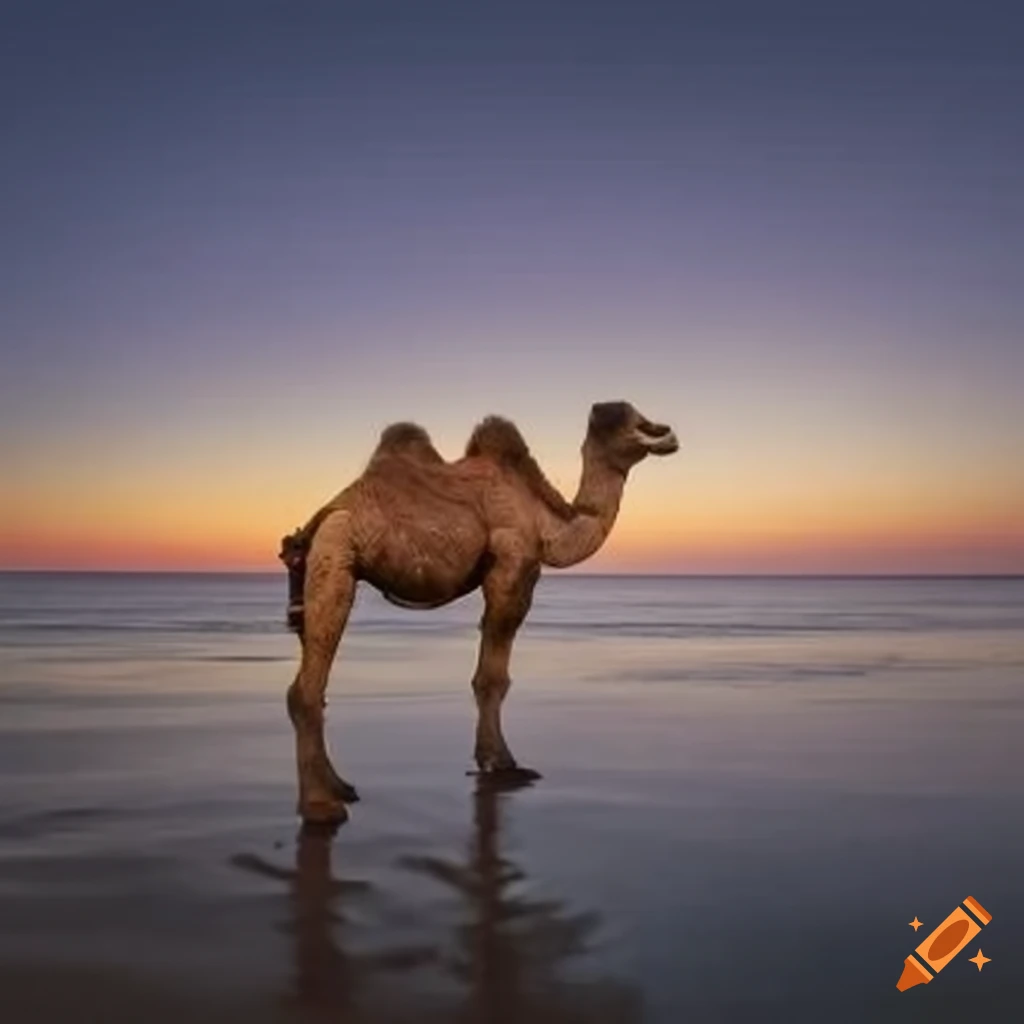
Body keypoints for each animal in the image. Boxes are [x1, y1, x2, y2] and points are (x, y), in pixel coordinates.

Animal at [279, 400, 678, 824]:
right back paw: (322, 807)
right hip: (336, 549)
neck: (544, 518)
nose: (667, 434)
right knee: (307, 684)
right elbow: (492, 678)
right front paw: (500, 762)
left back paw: (340, 787)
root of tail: (318, 520)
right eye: (633, 423)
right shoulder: (512, 564)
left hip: (313, 569)